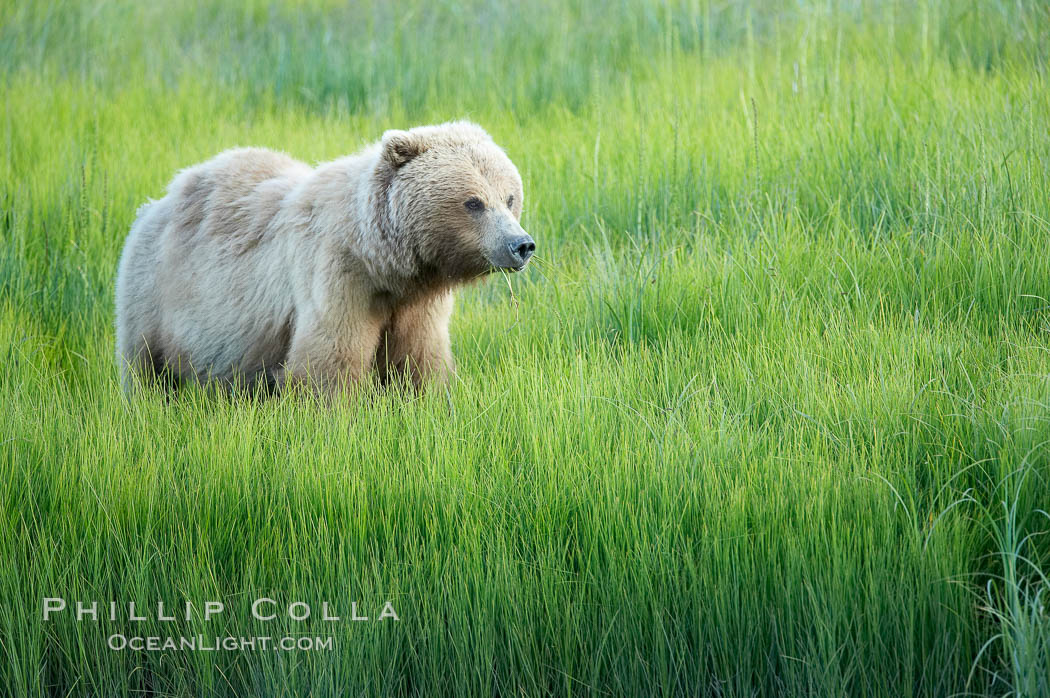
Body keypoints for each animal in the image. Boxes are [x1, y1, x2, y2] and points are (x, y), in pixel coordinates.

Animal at [114, 119, 533, 392]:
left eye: (509, 197)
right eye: (473, 202)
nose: (522, 244)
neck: (382, 261)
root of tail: (159, 200)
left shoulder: (415, 305)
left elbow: (418, 360)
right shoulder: (336, 274)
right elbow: (330, 361)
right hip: (155, 295)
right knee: (145, 370)